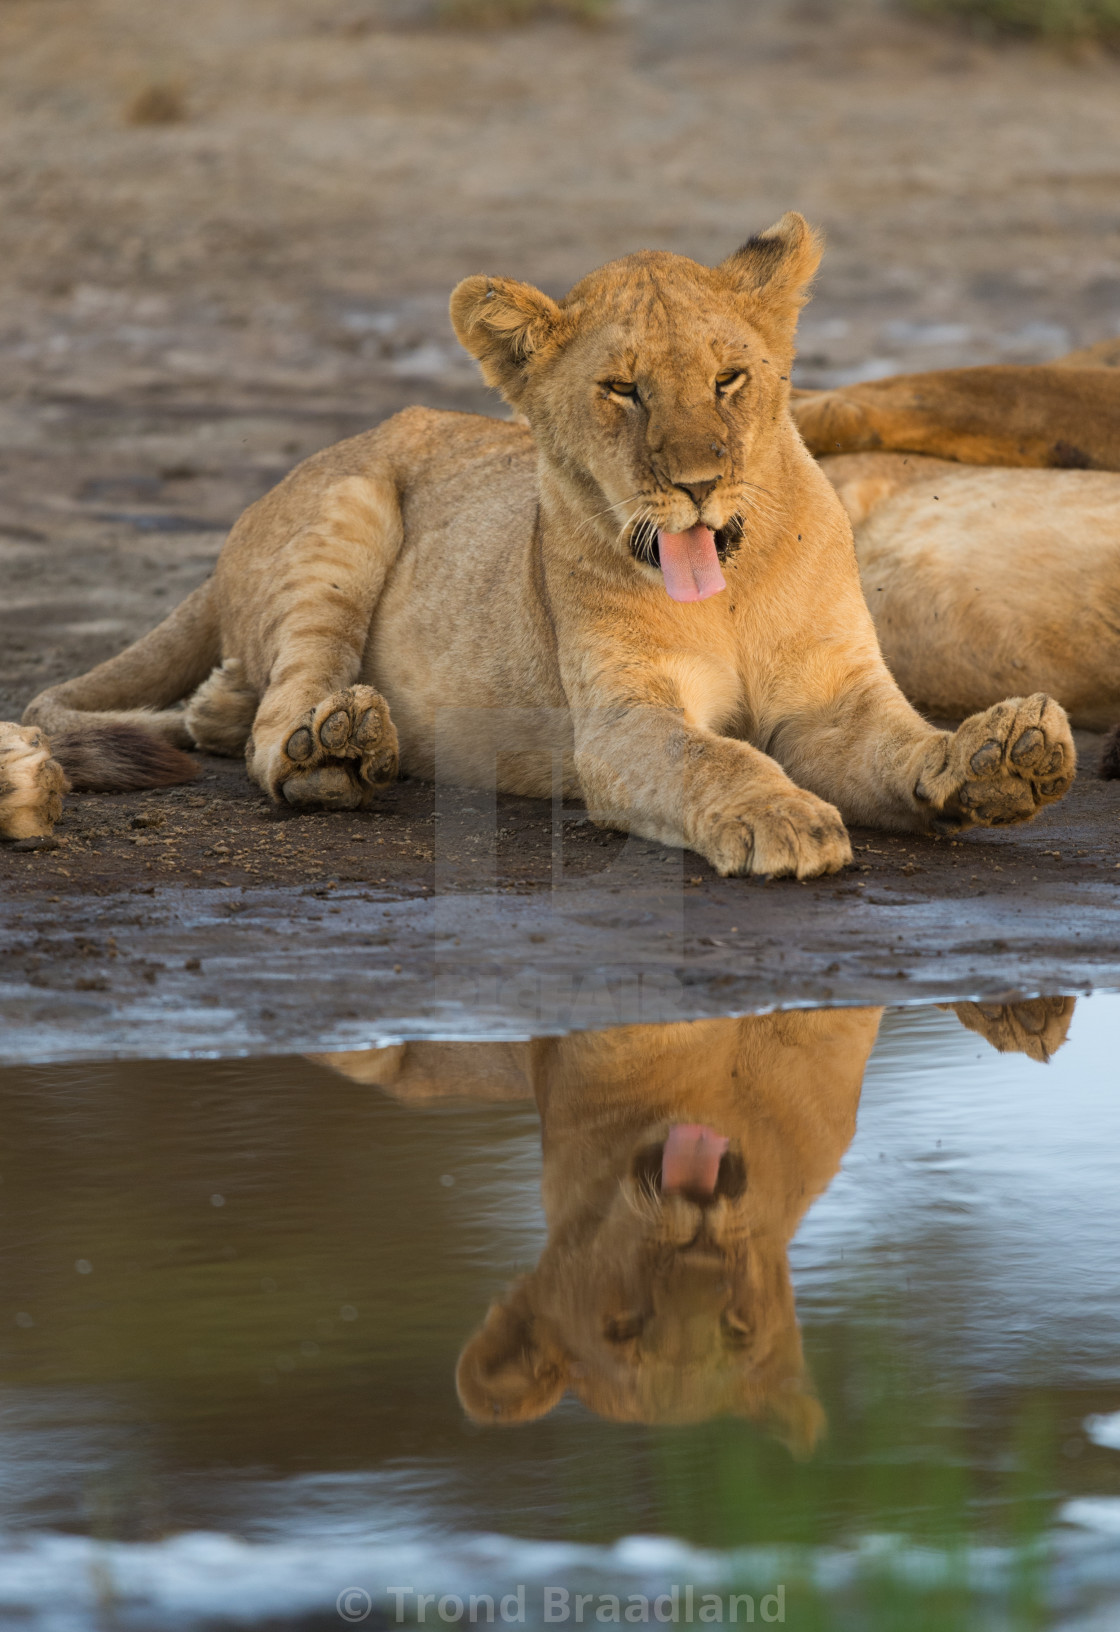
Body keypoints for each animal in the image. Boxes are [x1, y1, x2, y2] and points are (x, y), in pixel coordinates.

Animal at [8, 225, 1077, 881]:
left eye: (730, 379)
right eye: (623, 390)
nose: (698, 482)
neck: (728, 590)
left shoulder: (832, 701)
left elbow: (905, 746)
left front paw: (1000, 758)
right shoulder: (622, 721)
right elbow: (711, 757)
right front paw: (784, 818)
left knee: (240, 694)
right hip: (350, 510)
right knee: (279, 723)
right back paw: (337, 744)